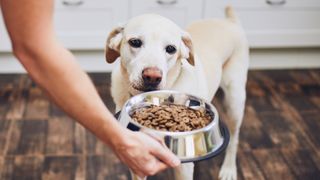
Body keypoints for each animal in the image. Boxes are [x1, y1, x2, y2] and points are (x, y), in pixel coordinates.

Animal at [105, 6, 250, 180]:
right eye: (135, 42)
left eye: (171, 49)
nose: (152, 76)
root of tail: (230, 21)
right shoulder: (137, 159)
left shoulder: (184, 167)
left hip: (234, 102)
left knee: (234, 138)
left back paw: (229, 169)